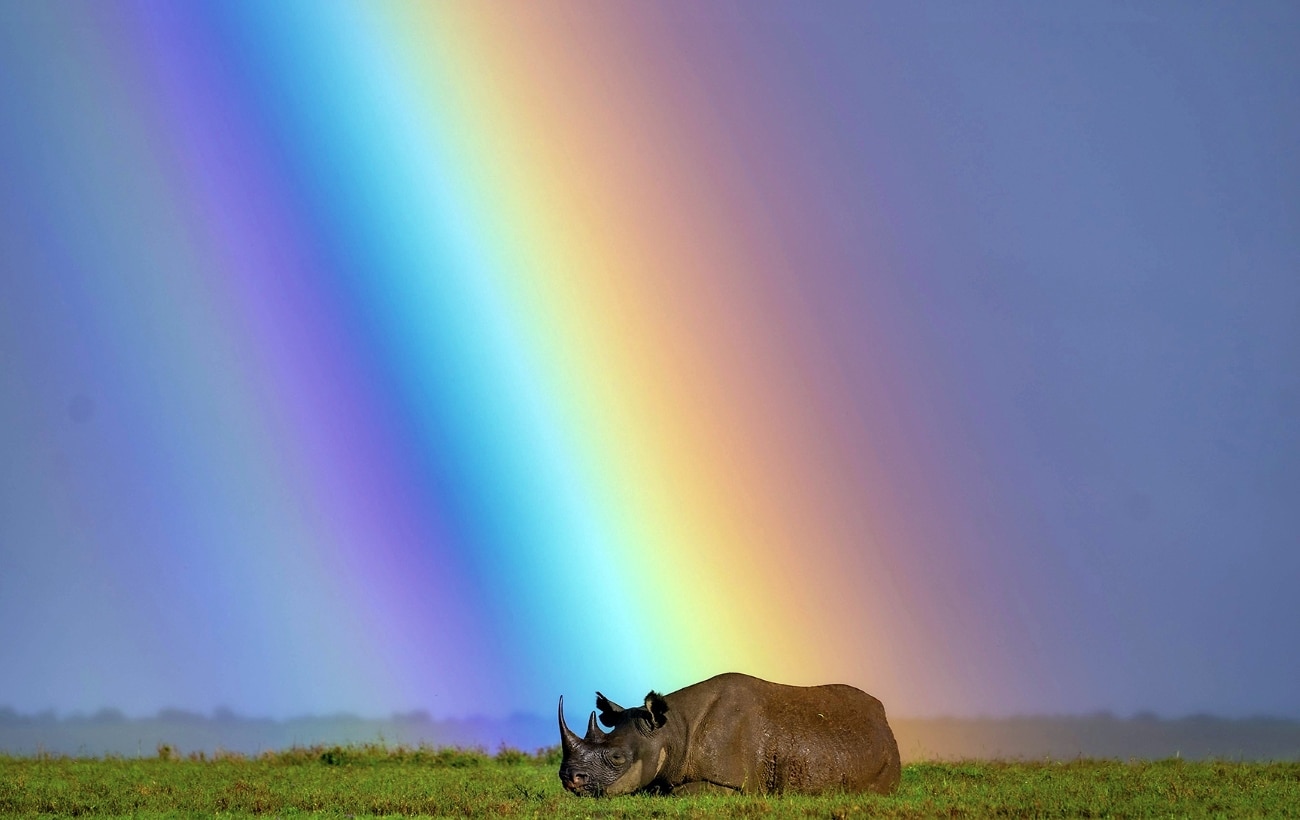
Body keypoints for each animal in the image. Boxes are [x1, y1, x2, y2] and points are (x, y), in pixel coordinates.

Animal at [559, 675, 904, 795]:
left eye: (617, 758)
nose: (568, 778)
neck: (672, 731)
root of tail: (884, 719)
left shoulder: (728, 782)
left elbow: (680, 793)